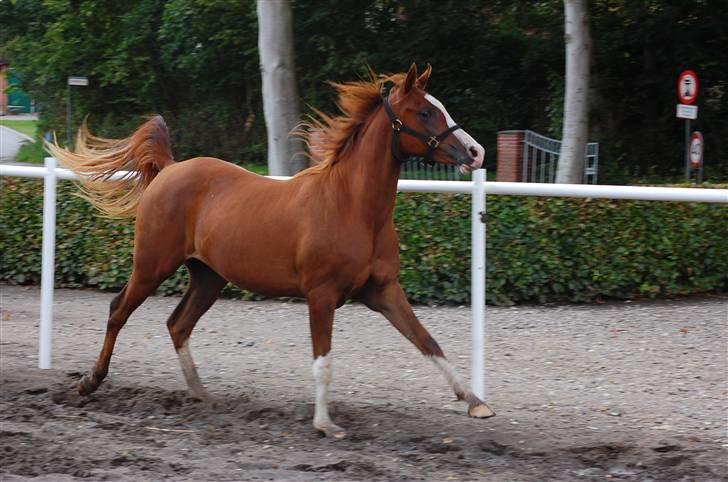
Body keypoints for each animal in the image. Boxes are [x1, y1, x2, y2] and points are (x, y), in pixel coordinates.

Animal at [47, 63, 494, 436]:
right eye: (424, 112)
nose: (476, 152)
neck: (352, 206)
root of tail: (170, 169)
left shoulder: (383, 291)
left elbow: (427, 341)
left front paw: (476, 403)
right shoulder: (321, 295)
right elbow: (323, 362)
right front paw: (325, 424)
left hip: (208, 277)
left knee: (178, 324)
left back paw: (200, 394)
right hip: (151, 265)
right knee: (118, 311)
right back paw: (90, 381)